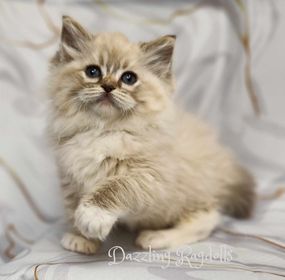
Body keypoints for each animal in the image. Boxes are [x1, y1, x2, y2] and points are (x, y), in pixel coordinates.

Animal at [47, 16, 255, 255]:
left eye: (128, 78)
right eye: (93, 72)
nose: (108, 87)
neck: (103, 129)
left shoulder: (150, 176)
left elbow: (113, 188)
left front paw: (92, 218)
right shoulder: (69, 178)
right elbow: (72, 207)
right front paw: (82, 238)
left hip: (190, 198)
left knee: (207, 220)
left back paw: (156, 237)